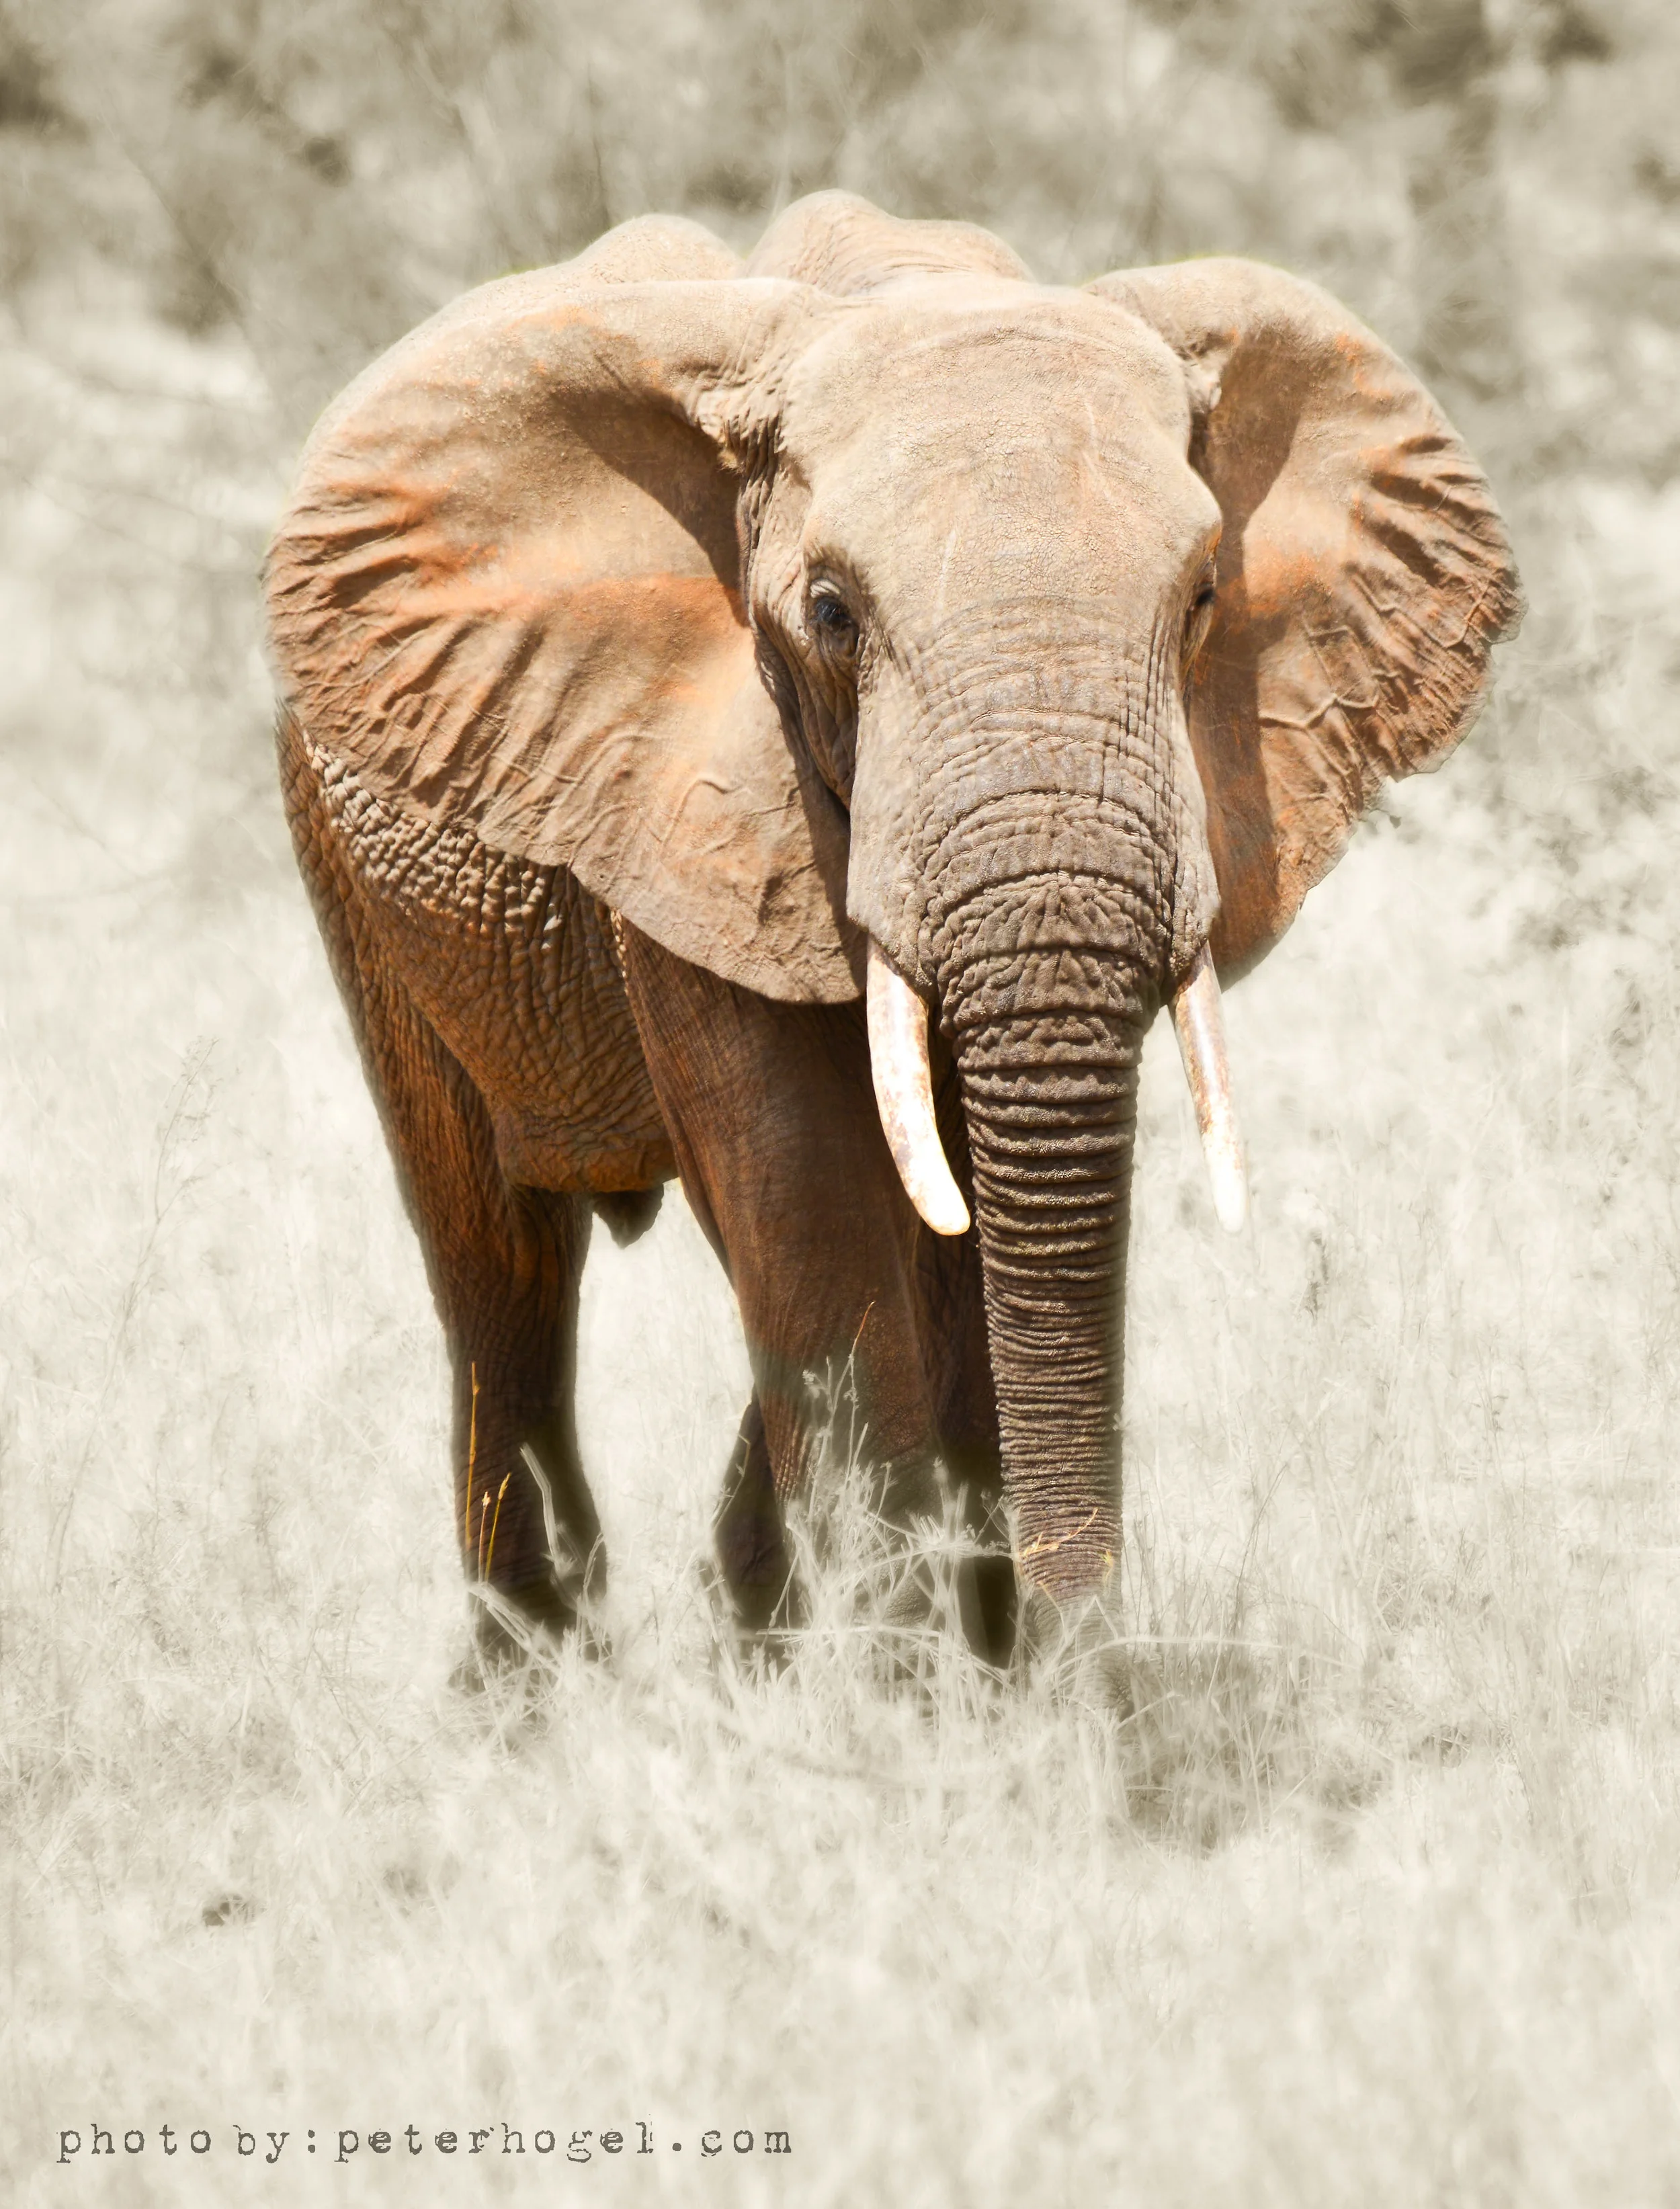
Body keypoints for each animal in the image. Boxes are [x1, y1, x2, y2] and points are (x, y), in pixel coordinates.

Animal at [264, 191, 1520, 1661]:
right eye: (829, 613)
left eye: (1206, 597)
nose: (1079, 1647)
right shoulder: (690, 787)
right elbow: (809, 1191)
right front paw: (902, 1694)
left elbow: (954, 1220)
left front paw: (949, 1673)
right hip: (350, 851)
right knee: (497, 1264)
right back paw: (542, 1682)